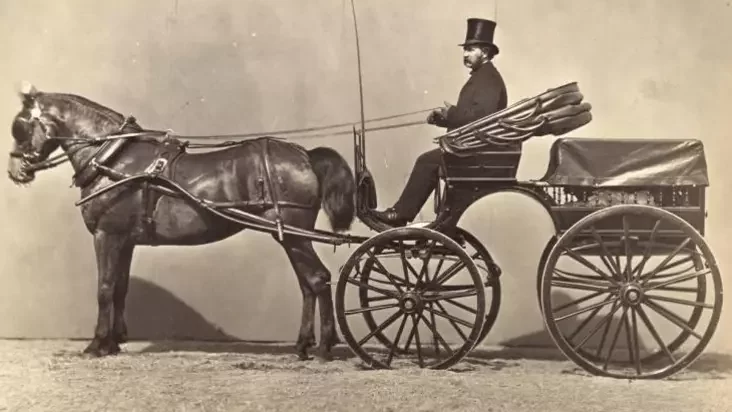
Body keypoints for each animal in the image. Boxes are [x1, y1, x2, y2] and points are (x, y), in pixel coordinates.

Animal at [6, 82, 357, 361]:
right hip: (290, 236)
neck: (113, 160)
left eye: (19, 127)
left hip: (295, 235)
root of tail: (305, 155)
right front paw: (114, 342)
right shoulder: (125, 241)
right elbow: (120, 288)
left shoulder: (107, 235)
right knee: (308, 284)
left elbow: (104, 288)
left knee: (318, 279)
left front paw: (97, 344)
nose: (14, 172)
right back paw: (303, 345)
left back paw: (325, 347)